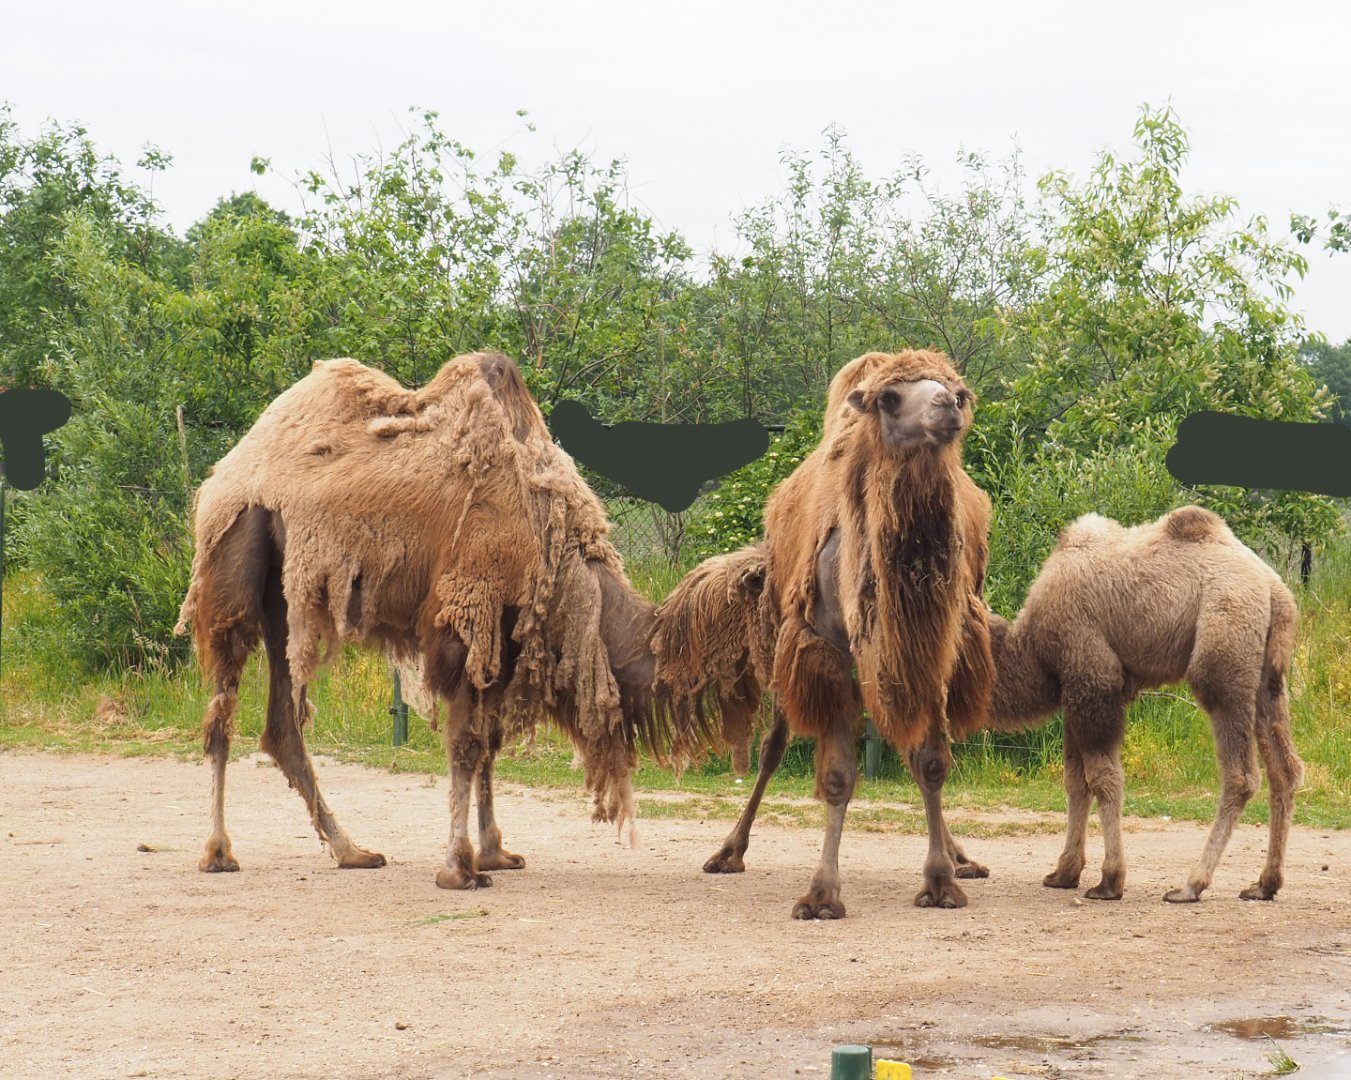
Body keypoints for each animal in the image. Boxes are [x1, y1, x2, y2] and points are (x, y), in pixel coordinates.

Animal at [176, 352, 692, 890]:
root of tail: (224, 469)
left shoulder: (502, 641)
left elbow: (490, 742)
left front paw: (495, 852)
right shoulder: (465, 617)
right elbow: (466, 743)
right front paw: (460, 867)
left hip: (288, 596)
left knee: (281, 722)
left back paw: (352, 850)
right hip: (235, 552)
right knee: (221, 709)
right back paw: (218, 851)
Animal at [673, 349, 995, 918]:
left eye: (959, 391)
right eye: (889, 398)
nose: (946, 406)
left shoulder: (931, 649)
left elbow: (931, 762)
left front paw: (940, 880)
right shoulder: (825, 650)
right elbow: (838, 775)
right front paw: (822, 894)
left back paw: (962, 857)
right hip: (794, 643)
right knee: (774, 745)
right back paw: (728, 851)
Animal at [985, 506, 1304, 902]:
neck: (1033, 649)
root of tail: (1275, 588)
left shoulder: (1092, 676)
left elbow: (1103, 778)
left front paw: (1109, 881)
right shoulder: (1073, 688)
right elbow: (1075, 781)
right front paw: (1063, 872)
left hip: (1225, 646)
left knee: (1241, 774)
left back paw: (1191, 885)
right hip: (1269, 676)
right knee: (1285, 769)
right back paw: (1264, 883)